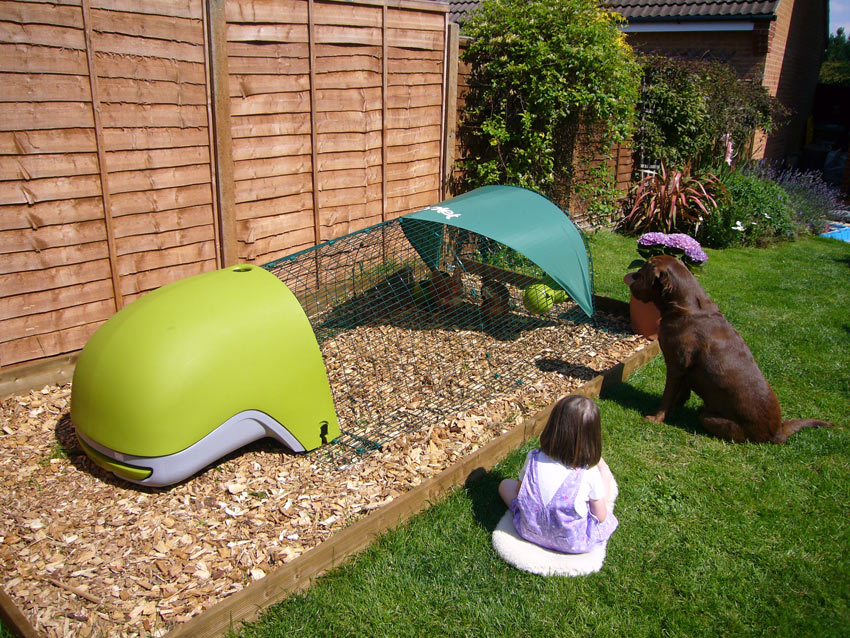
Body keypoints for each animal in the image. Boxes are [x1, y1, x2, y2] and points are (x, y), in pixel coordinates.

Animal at [620, 256, 832, 444]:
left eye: (644, 271)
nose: (630, 277)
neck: (685, 306)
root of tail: (776, 432)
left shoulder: (676, 365)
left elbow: (667, 396)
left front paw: (656, 418)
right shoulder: (686, 370)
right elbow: (681, 393)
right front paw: (676, 407)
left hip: (712, 419)